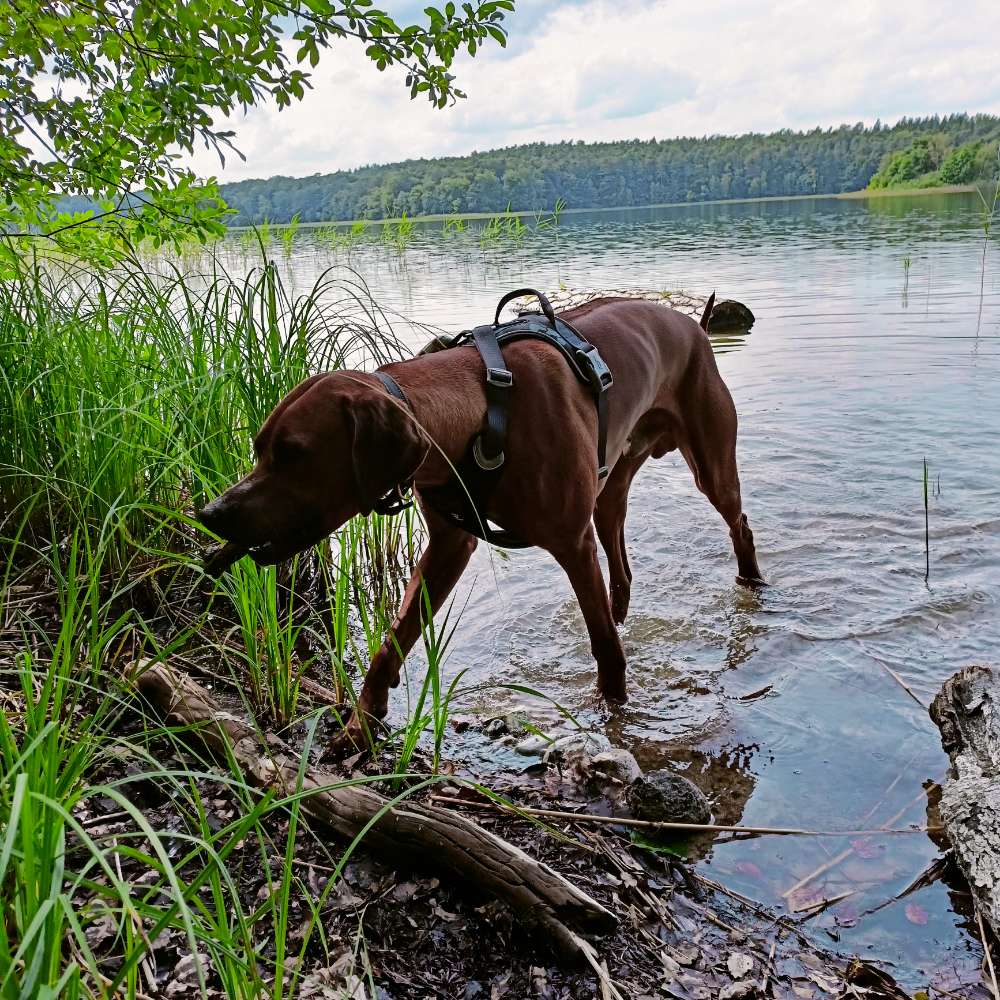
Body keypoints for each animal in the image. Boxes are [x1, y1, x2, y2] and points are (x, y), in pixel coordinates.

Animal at [203, 294, 764, 744]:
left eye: (293, 453)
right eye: (259, 448)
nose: (211, 513)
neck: (485, 413)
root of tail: (692, 322)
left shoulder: (572, 544)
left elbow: (605, 649)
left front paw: (615, 713)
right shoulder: (448, 546)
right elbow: (391, 645)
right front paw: (361, 724)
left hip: (712, 464)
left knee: (739, 522)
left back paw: (752, 583)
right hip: (612, 486)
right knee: (620, 559)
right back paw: (622, 603)